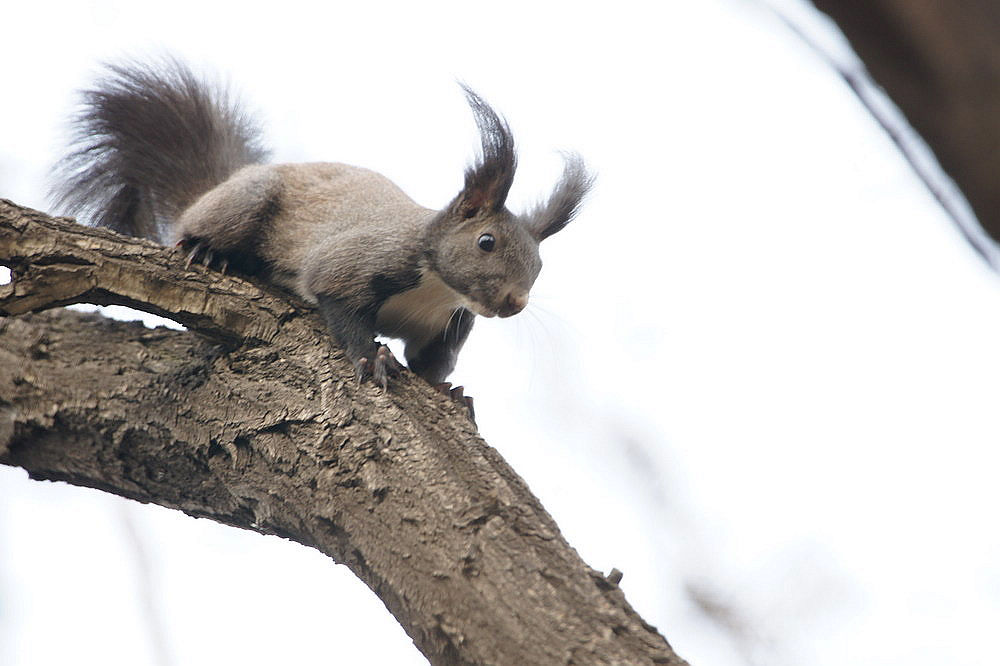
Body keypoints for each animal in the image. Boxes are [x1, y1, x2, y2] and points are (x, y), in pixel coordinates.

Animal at [50, 62, 592, 404]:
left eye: (540, 266)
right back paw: (208, 252)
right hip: (243, 203)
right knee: (200, 230)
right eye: (486, 242)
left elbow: (430, 362)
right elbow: (339, 301)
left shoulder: (446, 325)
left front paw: (449, 390)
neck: (436, 289)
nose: (514, 302)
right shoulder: (359, 261)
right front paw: (371, 358)